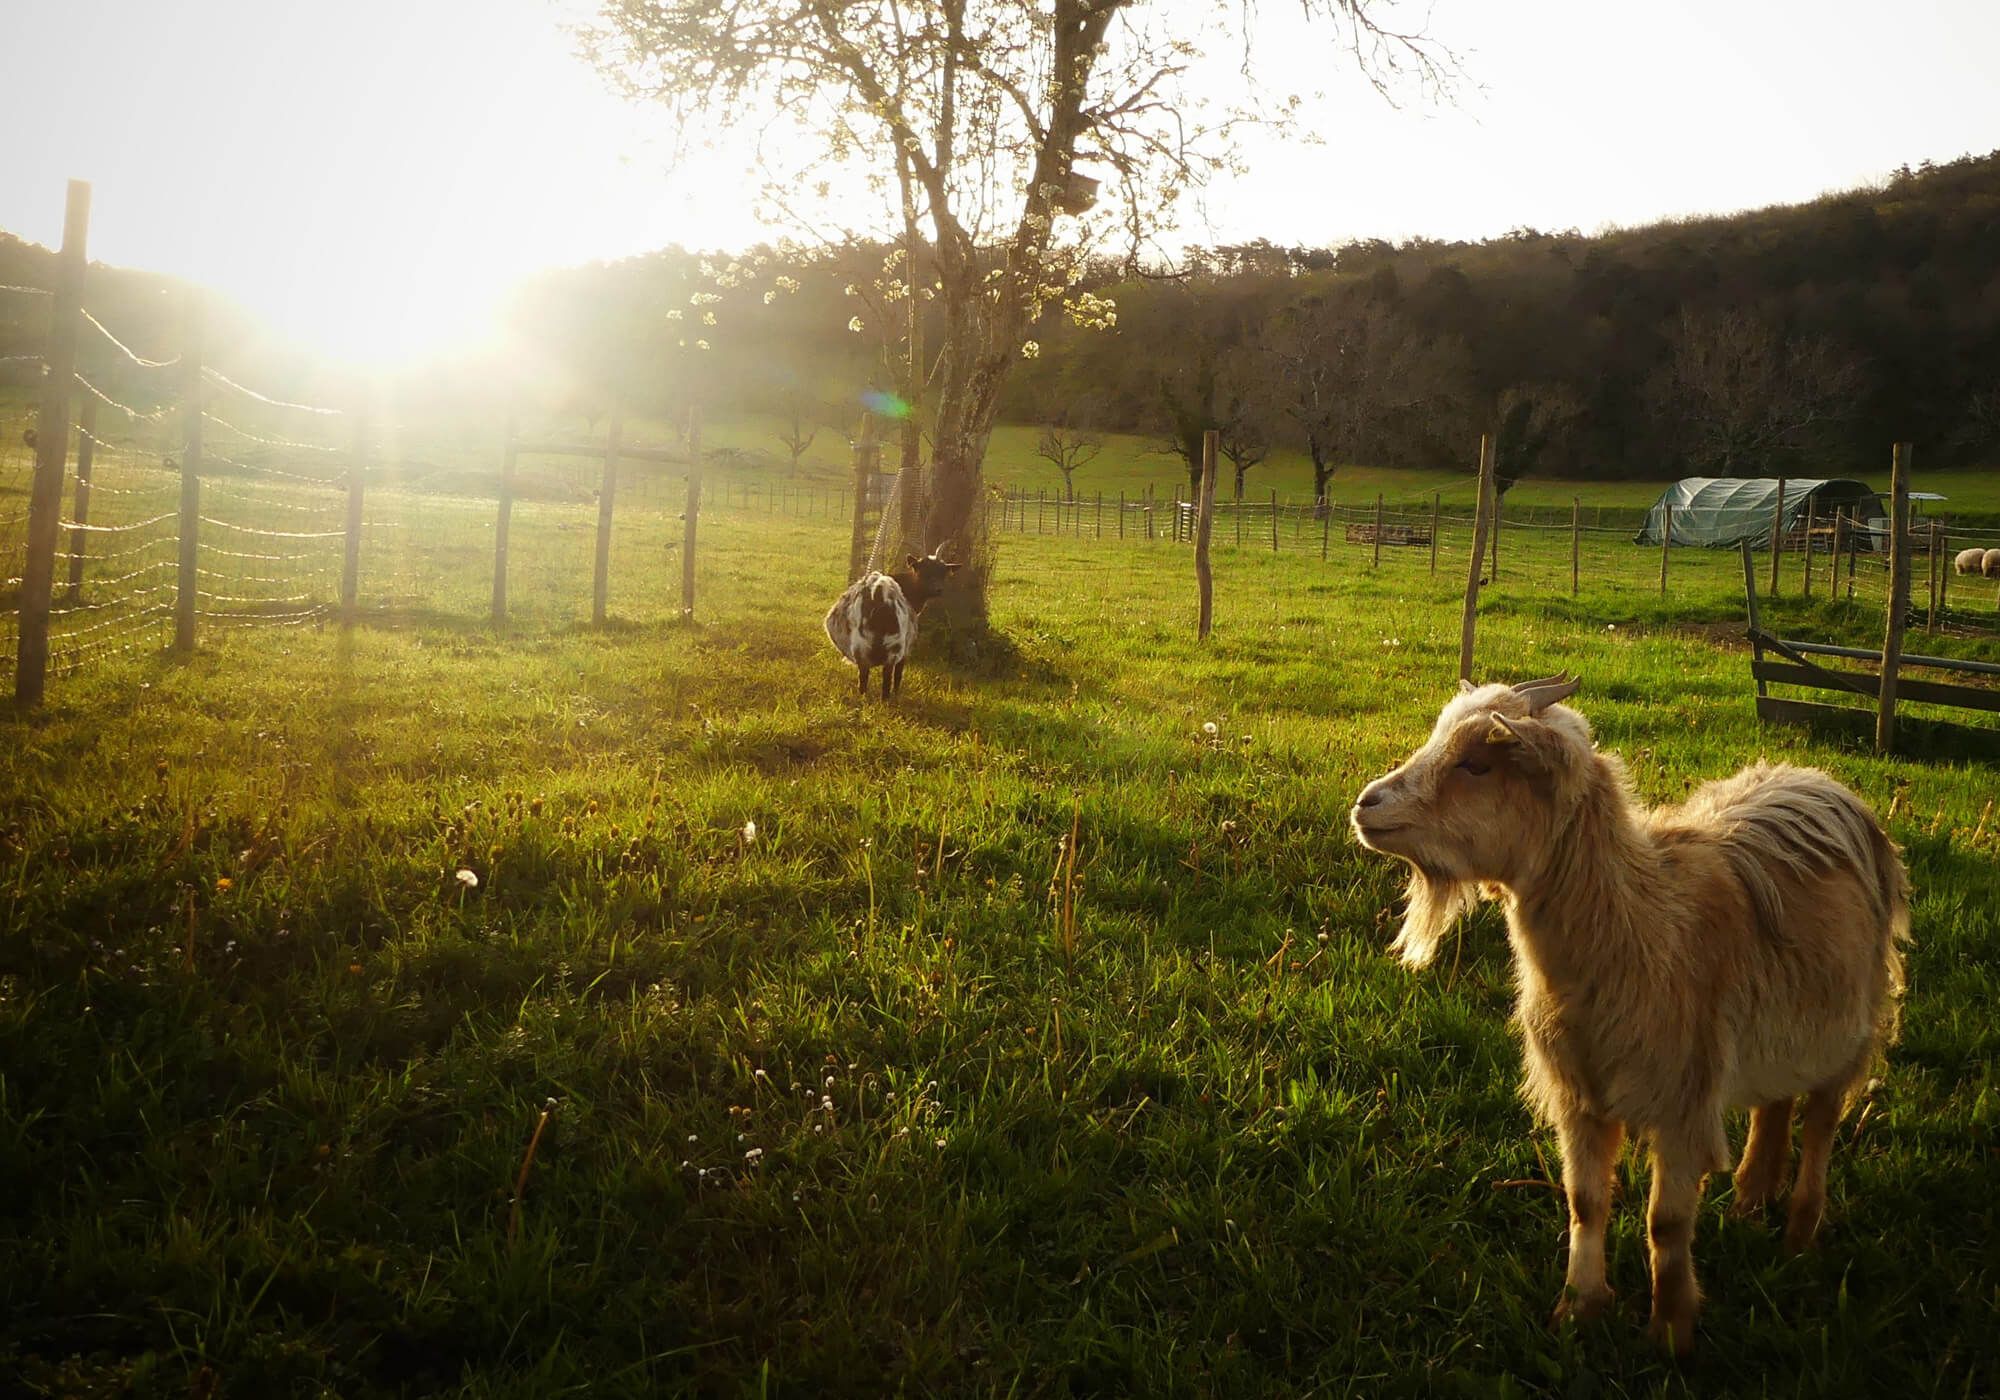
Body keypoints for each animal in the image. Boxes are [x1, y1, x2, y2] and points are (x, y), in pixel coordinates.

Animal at [820, 548, 960, 696]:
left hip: (862, 647)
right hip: (893, 648)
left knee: (864, 678)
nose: (938, 589)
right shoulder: (905, 650)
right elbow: (898, 675)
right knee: (886, 680)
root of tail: (879, 592)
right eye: (923, 570)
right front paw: (897, 694)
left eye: (943, 572)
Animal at [1352, 680, 1912, 1360]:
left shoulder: (1682, 1102)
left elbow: (1665, 1223)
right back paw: (1751, 1199)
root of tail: (1823, 782)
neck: (1640, 925)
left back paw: (1799, 1238)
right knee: (1776, 1103)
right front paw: (1579, 1309)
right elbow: (1584, 1203)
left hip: (1847, 1032)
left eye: (1478, 765)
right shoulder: (1579, 1093)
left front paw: (1670, 1332)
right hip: (1781, 1030)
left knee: (1822, 1125)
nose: (1366, 804)